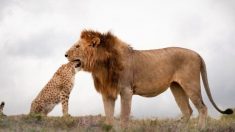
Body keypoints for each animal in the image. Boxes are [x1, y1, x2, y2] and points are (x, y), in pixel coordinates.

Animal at [64, 29, 233, 129]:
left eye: (77, 46)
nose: (65, 54)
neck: (101, 65)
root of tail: (197, 54)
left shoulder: (126, 91)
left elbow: (124, 117)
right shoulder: (107, 94)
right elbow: (109, 117)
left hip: (191, 85)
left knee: (202, 108)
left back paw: (200, 128)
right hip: (176, 87)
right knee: (187, 111)